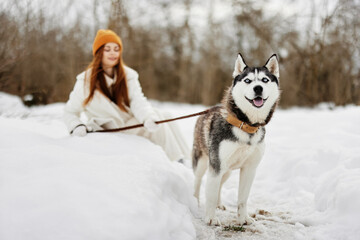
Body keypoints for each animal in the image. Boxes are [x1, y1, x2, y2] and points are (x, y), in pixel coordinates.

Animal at [193, 53, 280, 226]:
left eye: (265, 80)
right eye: (247, 80)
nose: (258, 88)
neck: (246, 126)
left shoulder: (249, 168)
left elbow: (242, 198)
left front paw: (243, 218)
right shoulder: (216, 165)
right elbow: (210, 195)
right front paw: (210, 218)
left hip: (226, 170)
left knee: (220, 184)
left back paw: (219, 204)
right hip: (203, 162)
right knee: (198, 181)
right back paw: (195, 201)